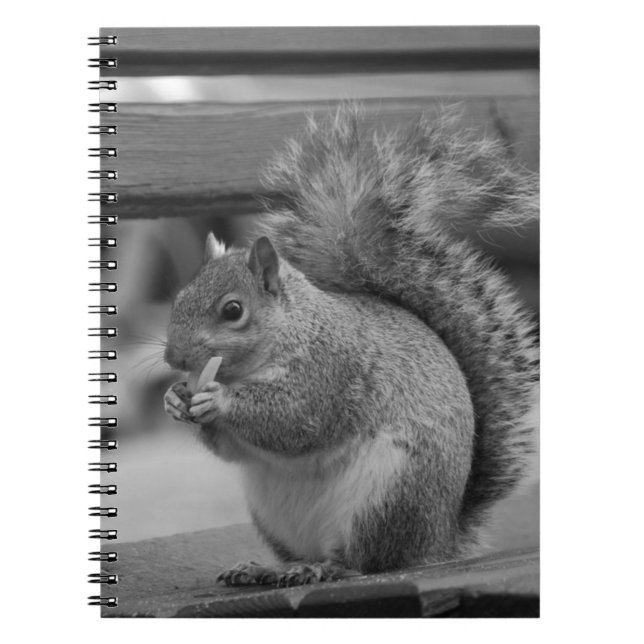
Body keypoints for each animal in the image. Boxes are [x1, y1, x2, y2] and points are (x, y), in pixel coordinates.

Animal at [163, 105, 539, 587]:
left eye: (233, 310)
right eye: (179, 298)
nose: (174, 357)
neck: (294, 329)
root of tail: (438, 539)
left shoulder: (331, 370)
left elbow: (295, 420)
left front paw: (218, 398)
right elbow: (232, 449)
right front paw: (176, 398)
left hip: (388, 494)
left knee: (365, 561)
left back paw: (322, 567)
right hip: (273, 514)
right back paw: (266, 568)